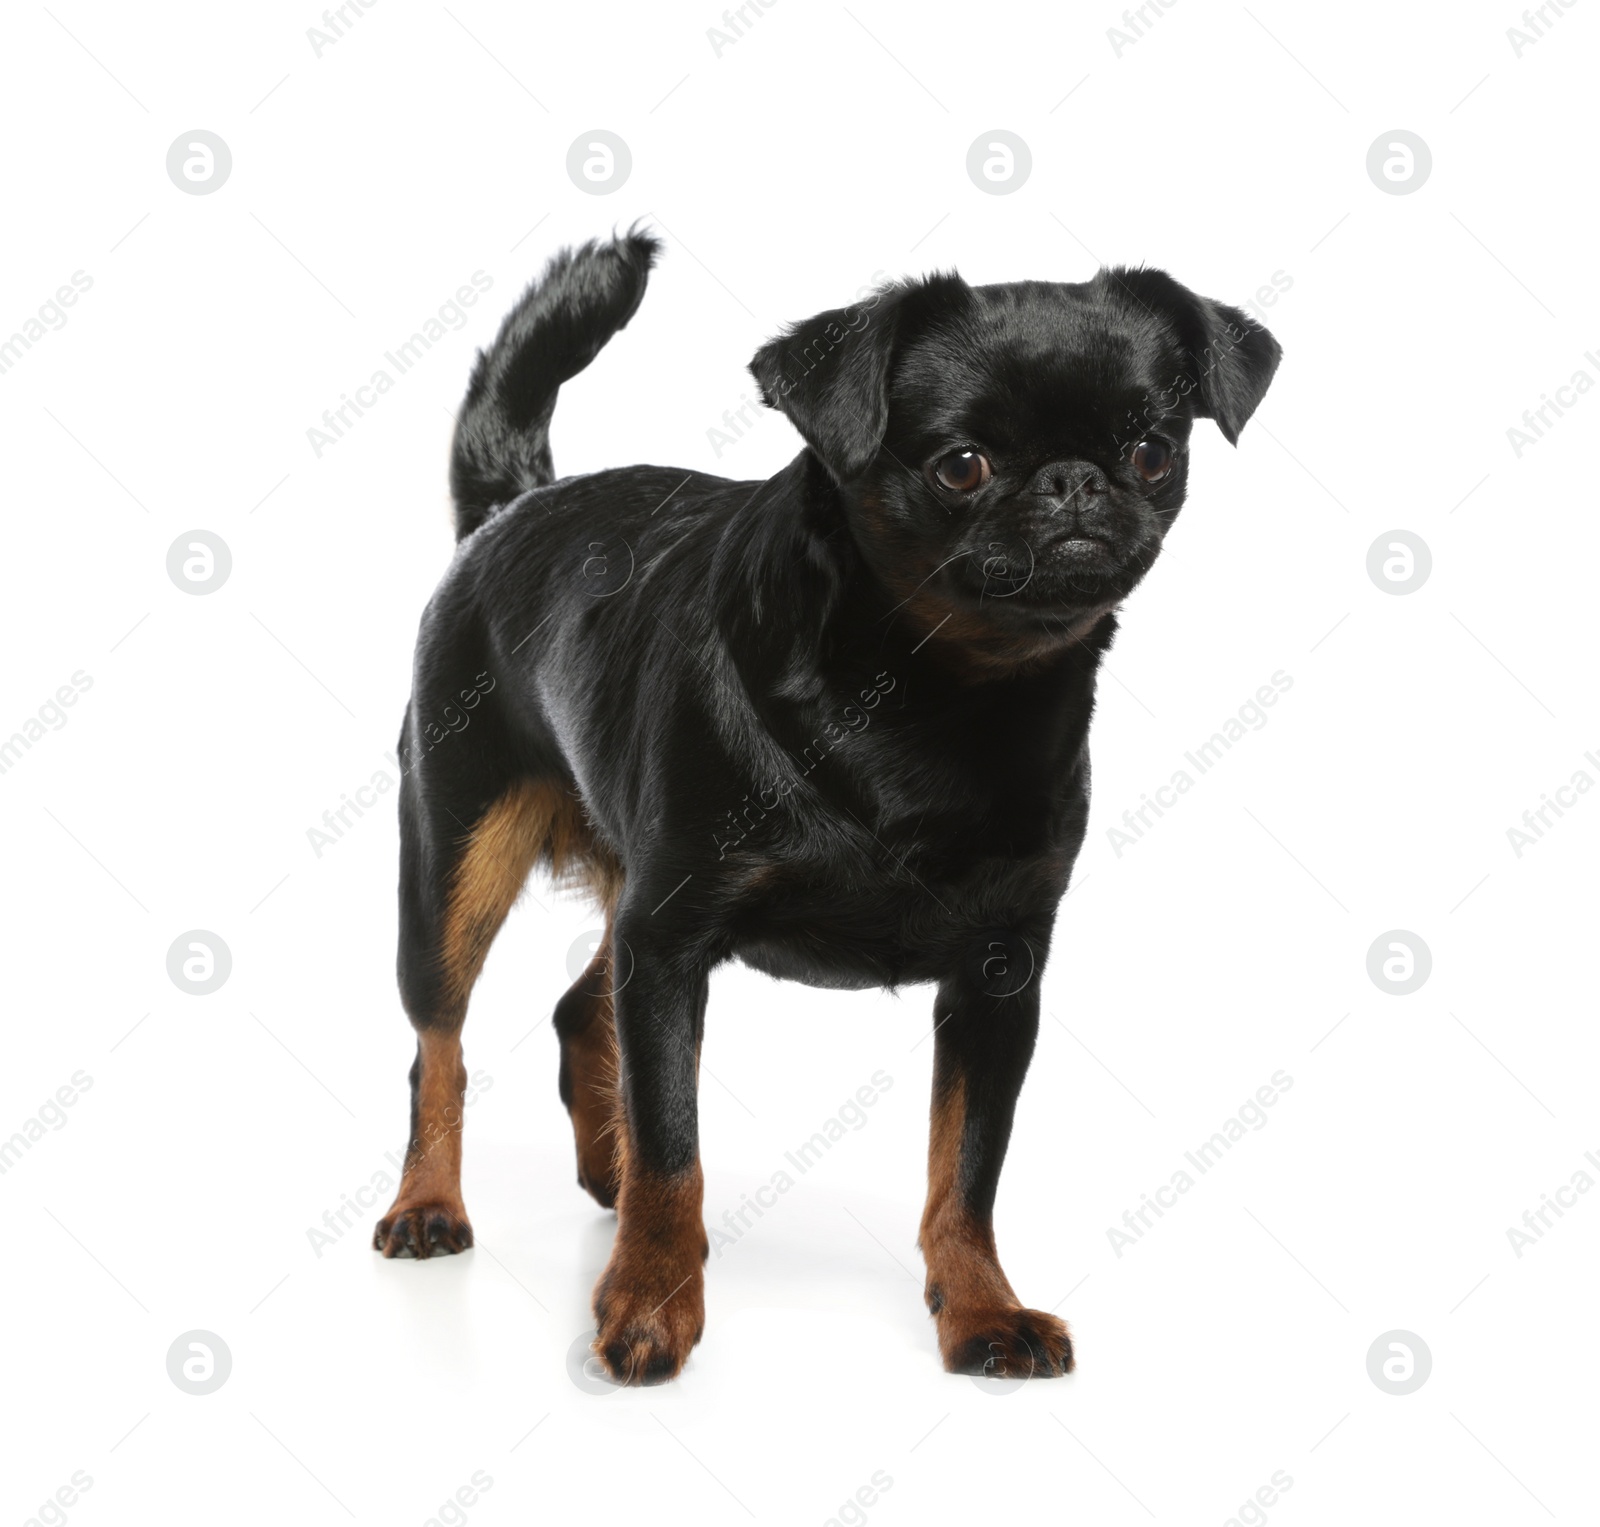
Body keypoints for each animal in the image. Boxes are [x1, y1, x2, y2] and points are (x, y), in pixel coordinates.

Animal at [371, 225, 1273, 1382]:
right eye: (961, 464)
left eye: (1155, 451)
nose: (1075, 480)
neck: (932, 695)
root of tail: (516, 505)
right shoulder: (673, 938)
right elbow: (676, 1145)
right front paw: (652, 1301)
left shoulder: (999, 973)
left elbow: (966, 1167)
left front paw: (978, 1308)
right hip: (457, 864)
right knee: (438, 1044)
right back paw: (431, 1204)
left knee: (582, 1008)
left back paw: (604, 1173)